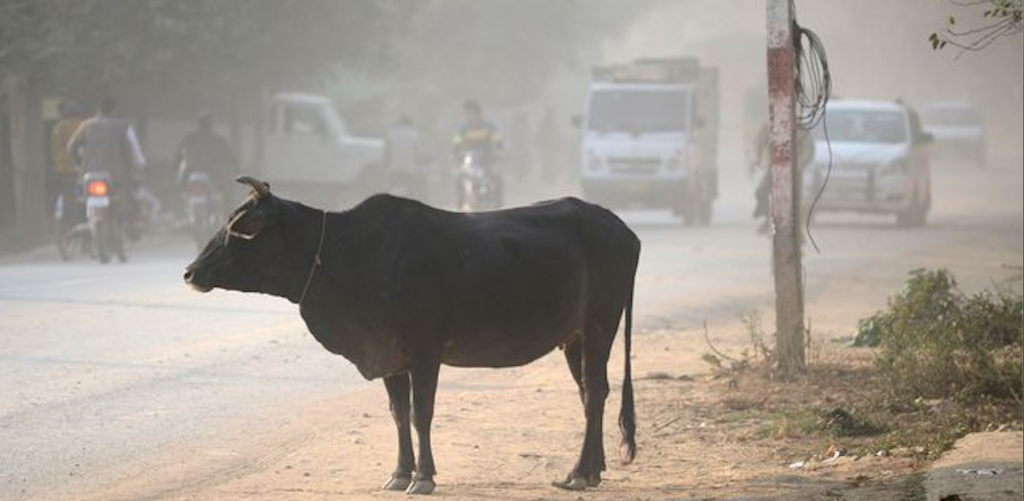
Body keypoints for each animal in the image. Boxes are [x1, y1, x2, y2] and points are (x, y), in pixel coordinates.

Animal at [184, 176, 638, 491]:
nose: (190, 272)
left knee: (595, 394)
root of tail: (624, 230)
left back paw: (579, 472)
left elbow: (422, 413)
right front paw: (400, 473)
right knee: (591, 392)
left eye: (241, 228)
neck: (342, 254)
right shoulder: (391, 356)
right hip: (575, 338)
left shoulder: (425, 351)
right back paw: (592, 469)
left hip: (600, 325)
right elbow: (399, 414)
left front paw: (424, 477)